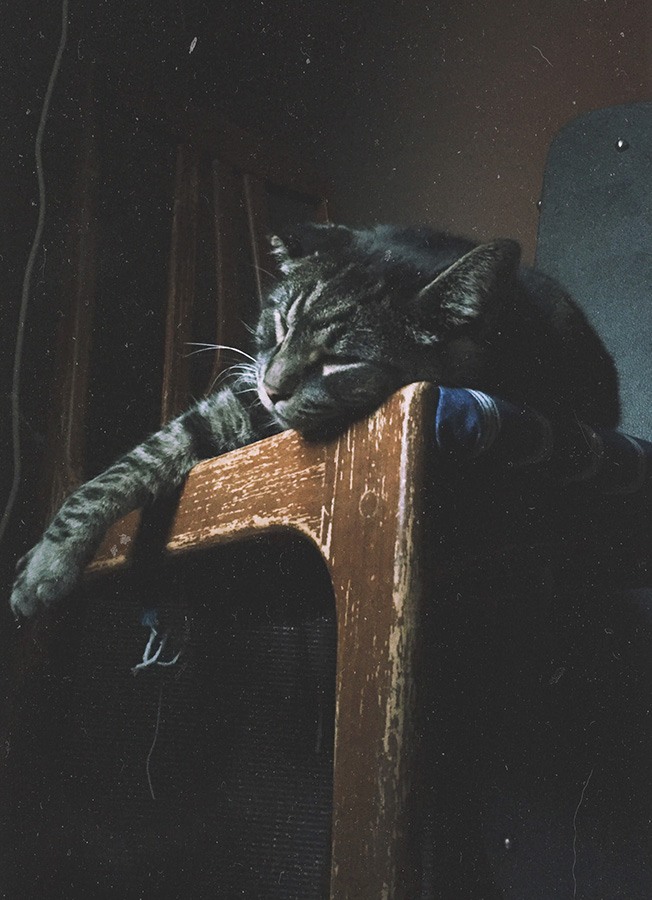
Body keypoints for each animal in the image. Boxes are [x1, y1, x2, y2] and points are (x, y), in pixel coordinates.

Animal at [11, 223, 620, 620]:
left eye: (340, 358)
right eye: (281, 323)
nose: (273, 387)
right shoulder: (241, 401)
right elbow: (138, 460)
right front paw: (47, 561)